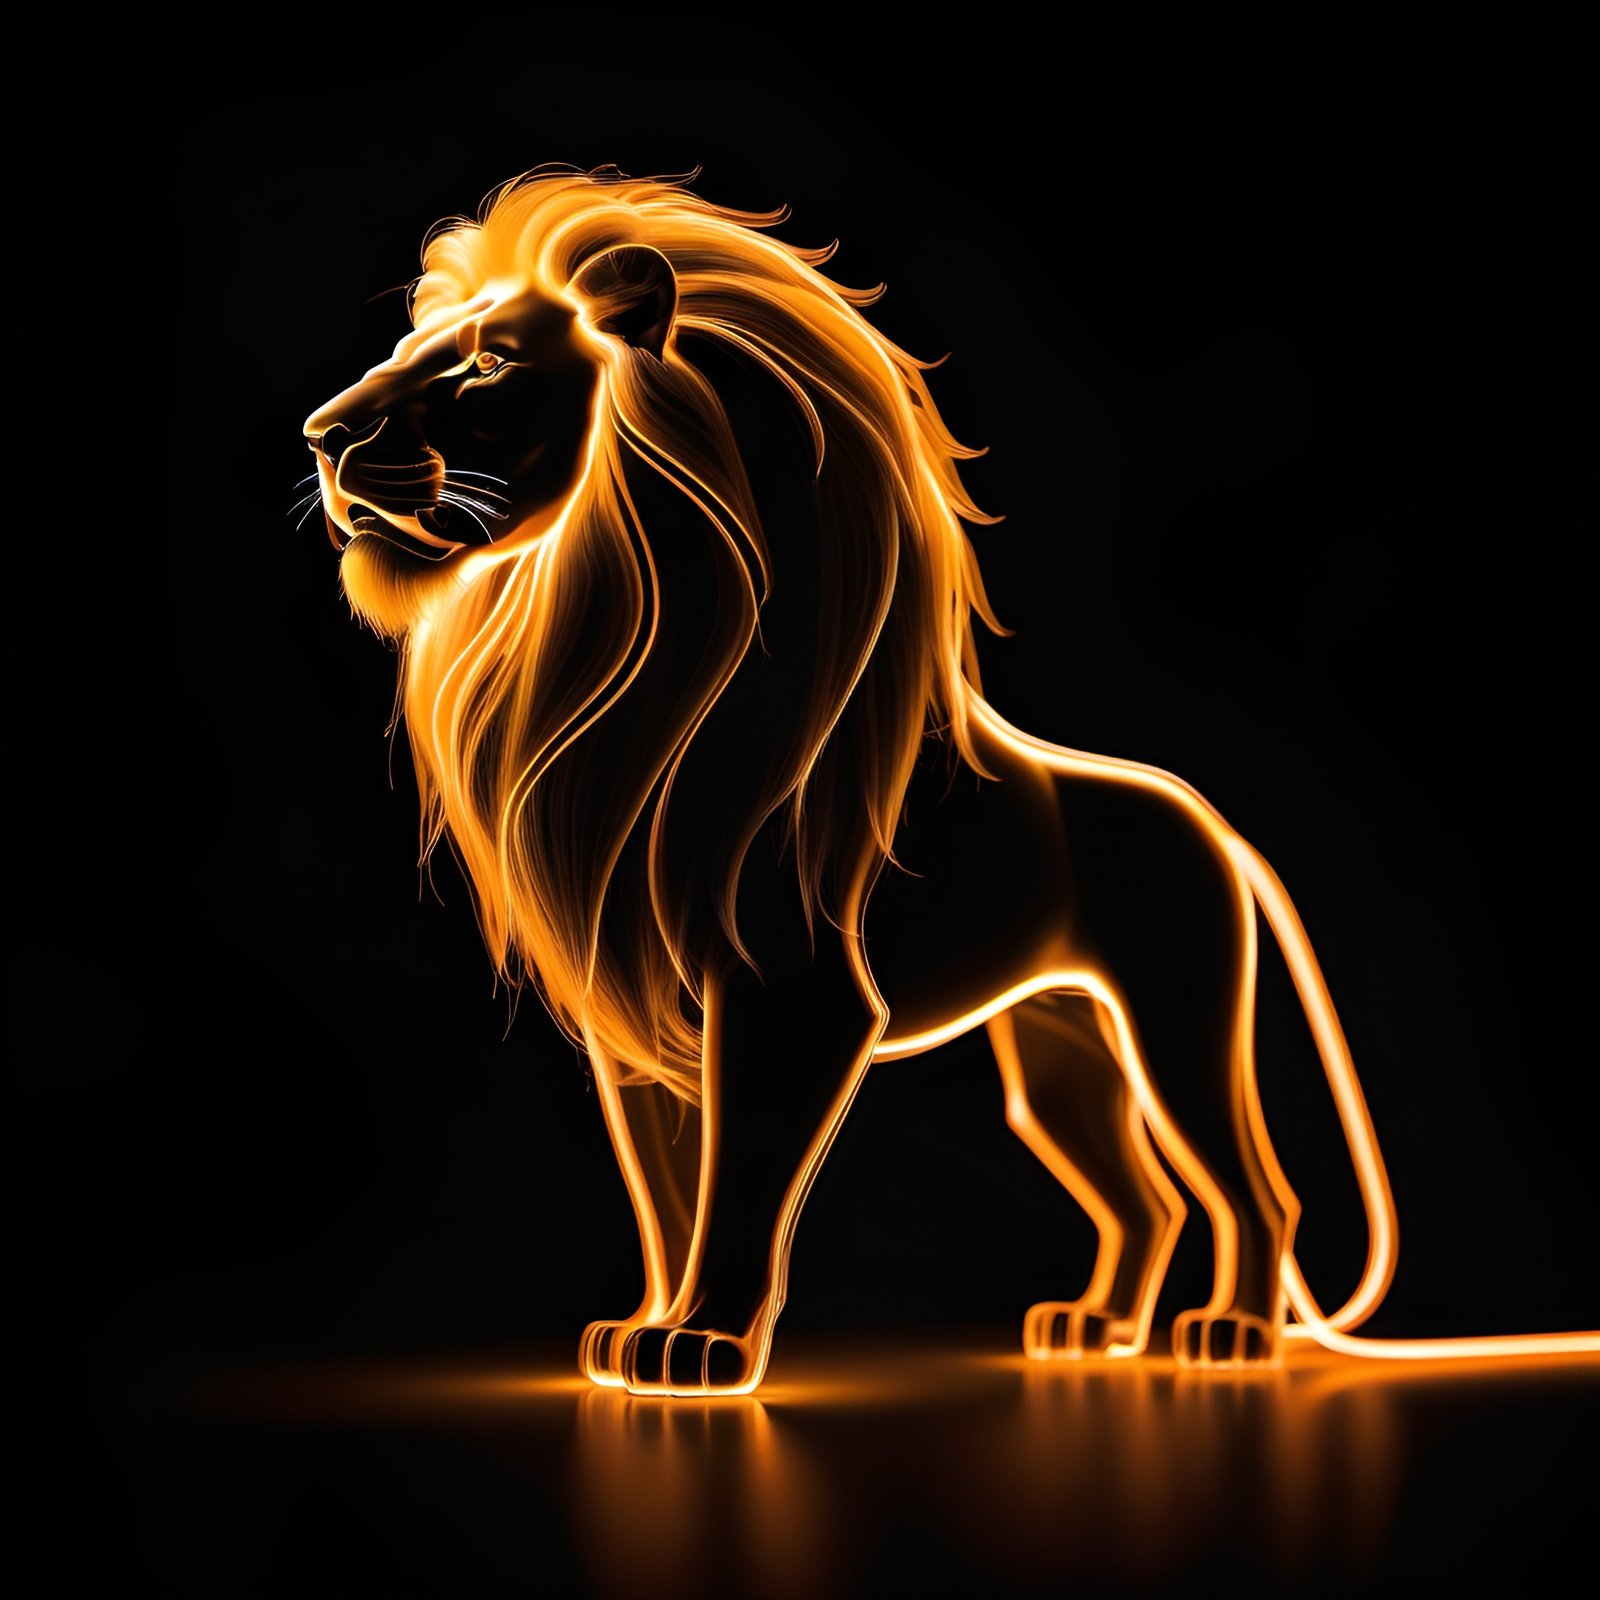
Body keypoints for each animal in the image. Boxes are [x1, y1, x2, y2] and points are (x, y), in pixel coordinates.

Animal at [304, 166, 1597, 1394]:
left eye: (485, 363)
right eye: (413, 349)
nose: (321, 433)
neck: (607, 636)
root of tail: (1212, 821)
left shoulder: (792, 1000)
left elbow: (740, 1190)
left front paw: (706, 1345)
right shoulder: (640, 1016)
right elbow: (668, 1197)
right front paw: (638, 1335)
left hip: (1178, 1020)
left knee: (1246, 1188)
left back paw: (1225, 1334)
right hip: (1060, 1048)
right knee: (1143, 1198)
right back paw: (1090, 1331)